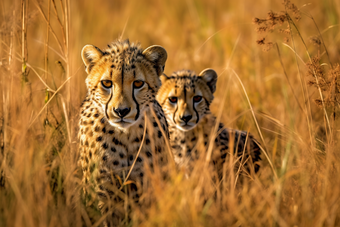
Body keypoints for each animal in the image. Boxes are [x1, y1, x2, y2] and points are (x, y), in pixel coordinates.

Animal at [79, 39, 170, 225]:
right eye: (106, 83)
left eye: (138, 83)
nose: (121, 111)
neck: (125, 136)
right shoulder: (103, 188)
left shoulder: (147, 185)